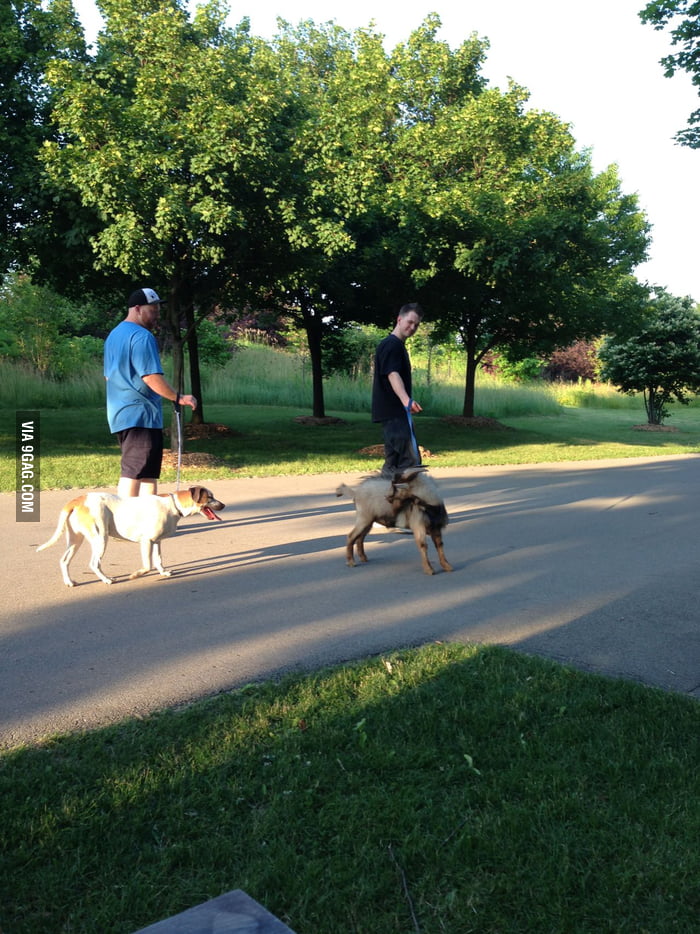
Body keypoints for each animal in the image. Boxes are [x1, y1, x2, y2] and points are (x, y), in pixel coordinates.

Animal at [37, 486, 224, 588]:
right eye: (210, 497)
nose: (223, 505)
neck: (173, 505)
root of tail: (78, 500)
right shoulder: (146, 541)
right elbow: (147, 566)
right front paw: (135, 575)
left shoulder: (156, 542)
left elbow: (158, 560)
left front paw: (163, 572)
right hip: (100, 537)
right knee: (94, 563)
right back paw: (106, 579)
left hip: (76, 539)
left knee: (64, 560)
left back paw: (69, 581)